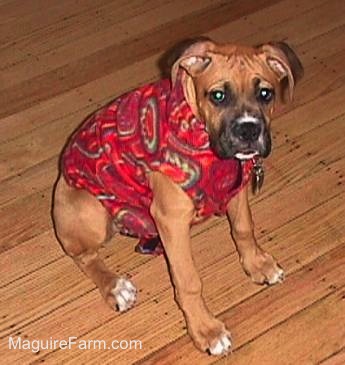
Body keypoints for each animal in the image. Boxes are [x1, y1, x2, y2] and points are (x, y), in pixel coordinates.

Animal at [51, 38, 300, 354]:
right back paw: (115, 286)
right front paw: (206, 330)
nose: (248, 130)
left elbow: (243, 229)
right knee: (83, 256)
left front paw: (258, 264)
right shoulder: (172, 220)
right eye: (218, 96)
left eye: (265, 93)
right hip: (91, 212)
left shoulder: (237, 189)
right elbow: (189, 281)